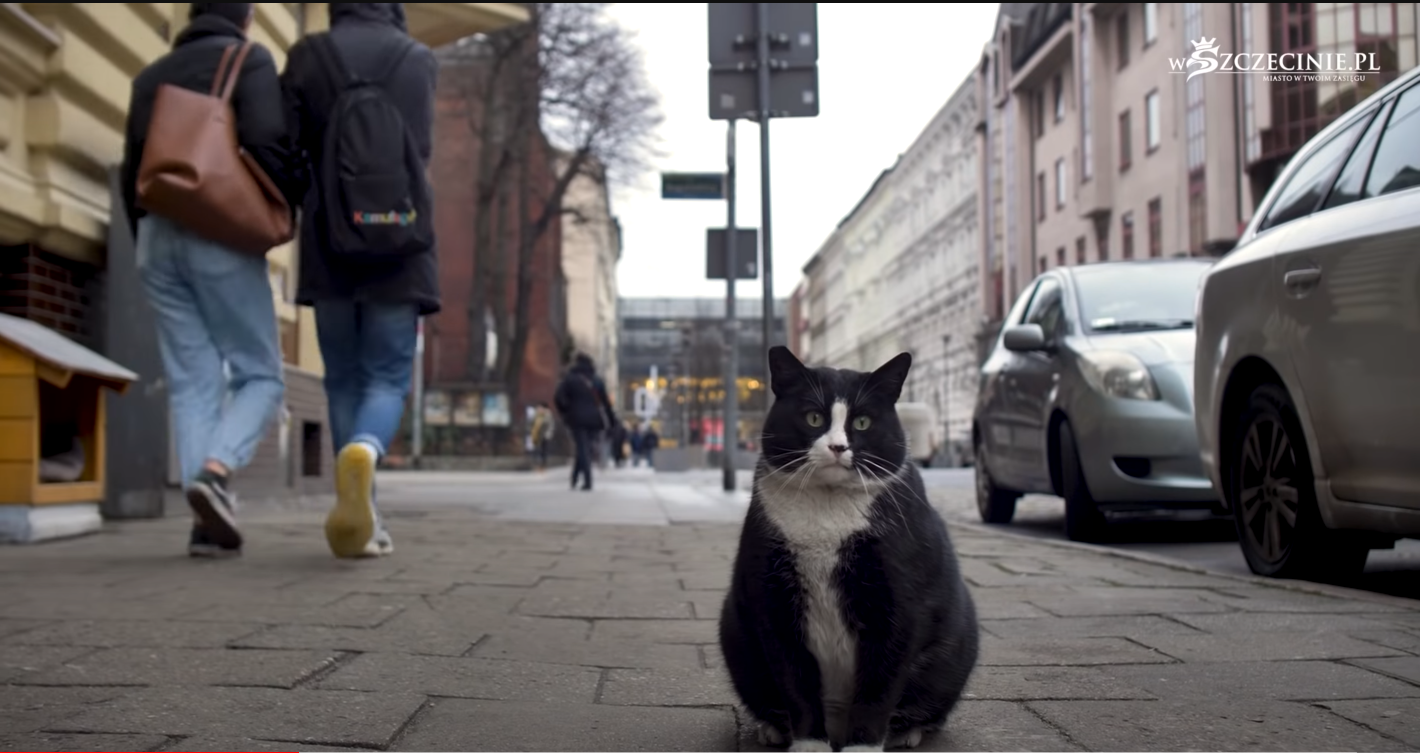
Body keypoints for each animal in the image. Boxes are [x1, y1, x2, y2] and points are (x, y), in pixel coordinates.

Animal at [721, 345, 976, 750]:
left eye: (863, 423)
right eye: (813, 417)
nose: (838, 447)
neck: (828, 509)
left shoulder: (901, 603)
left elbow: (879, 686)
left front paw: (863, 745)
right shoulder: (773, 601)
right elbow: (795, 681)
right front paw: (808, 743)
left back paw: (908, 732)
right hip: (736, 634)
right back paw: (773, 729)